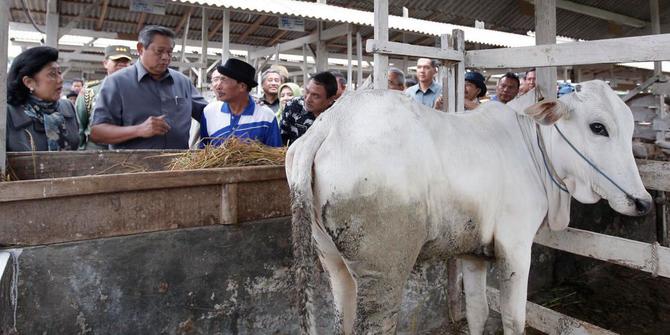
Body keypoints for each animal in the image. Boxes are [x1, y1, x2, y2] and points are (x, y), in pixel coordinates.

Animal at [286, 80, 652, 334]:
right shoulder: (515, 246)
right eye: (598, 127)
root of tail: (328, 126)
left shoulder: (472, 252)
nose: (643, 202)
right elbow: (514, 319)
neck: (532, 146)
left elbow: (477, 311)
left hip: (332, 262)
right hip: (384, 271)